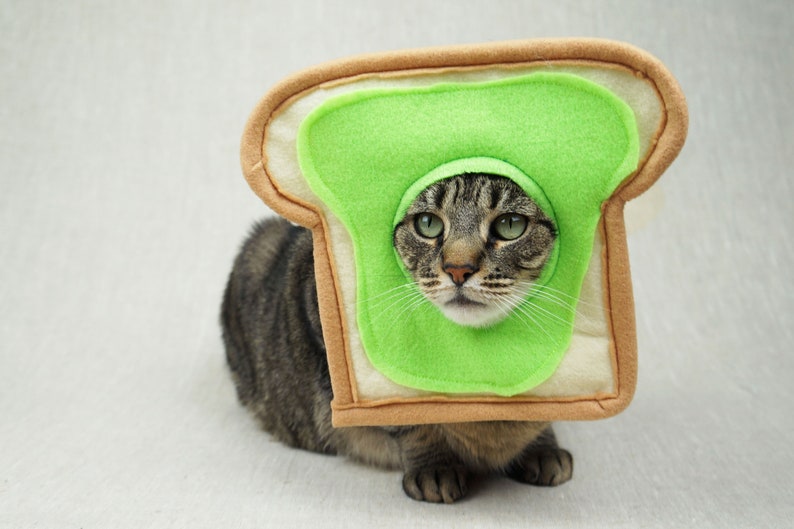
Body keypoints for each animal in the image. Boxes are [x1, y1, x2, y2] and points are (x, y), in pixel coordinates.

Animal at [220, 173, 572, 504]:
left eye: (510, 225)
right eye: (428, 224)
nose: (458, 269)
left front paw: (541, 447)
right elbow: (410, 419)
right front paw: (435, 467)